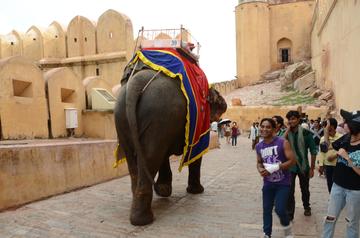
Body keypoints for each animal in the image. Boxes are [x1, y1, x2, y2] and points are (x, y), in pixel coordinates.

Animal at [114, 58, 226, 226]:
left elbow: (164, 156)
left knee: (136, 161)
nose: (224, 104)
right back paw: (144, 220)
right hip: (159, 114)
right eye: (218, 97)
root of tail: (136, 81)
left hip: (122, 117)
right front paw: (196, 191)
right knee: (151, 156)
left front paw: (164, 190)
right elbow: (196, 154)